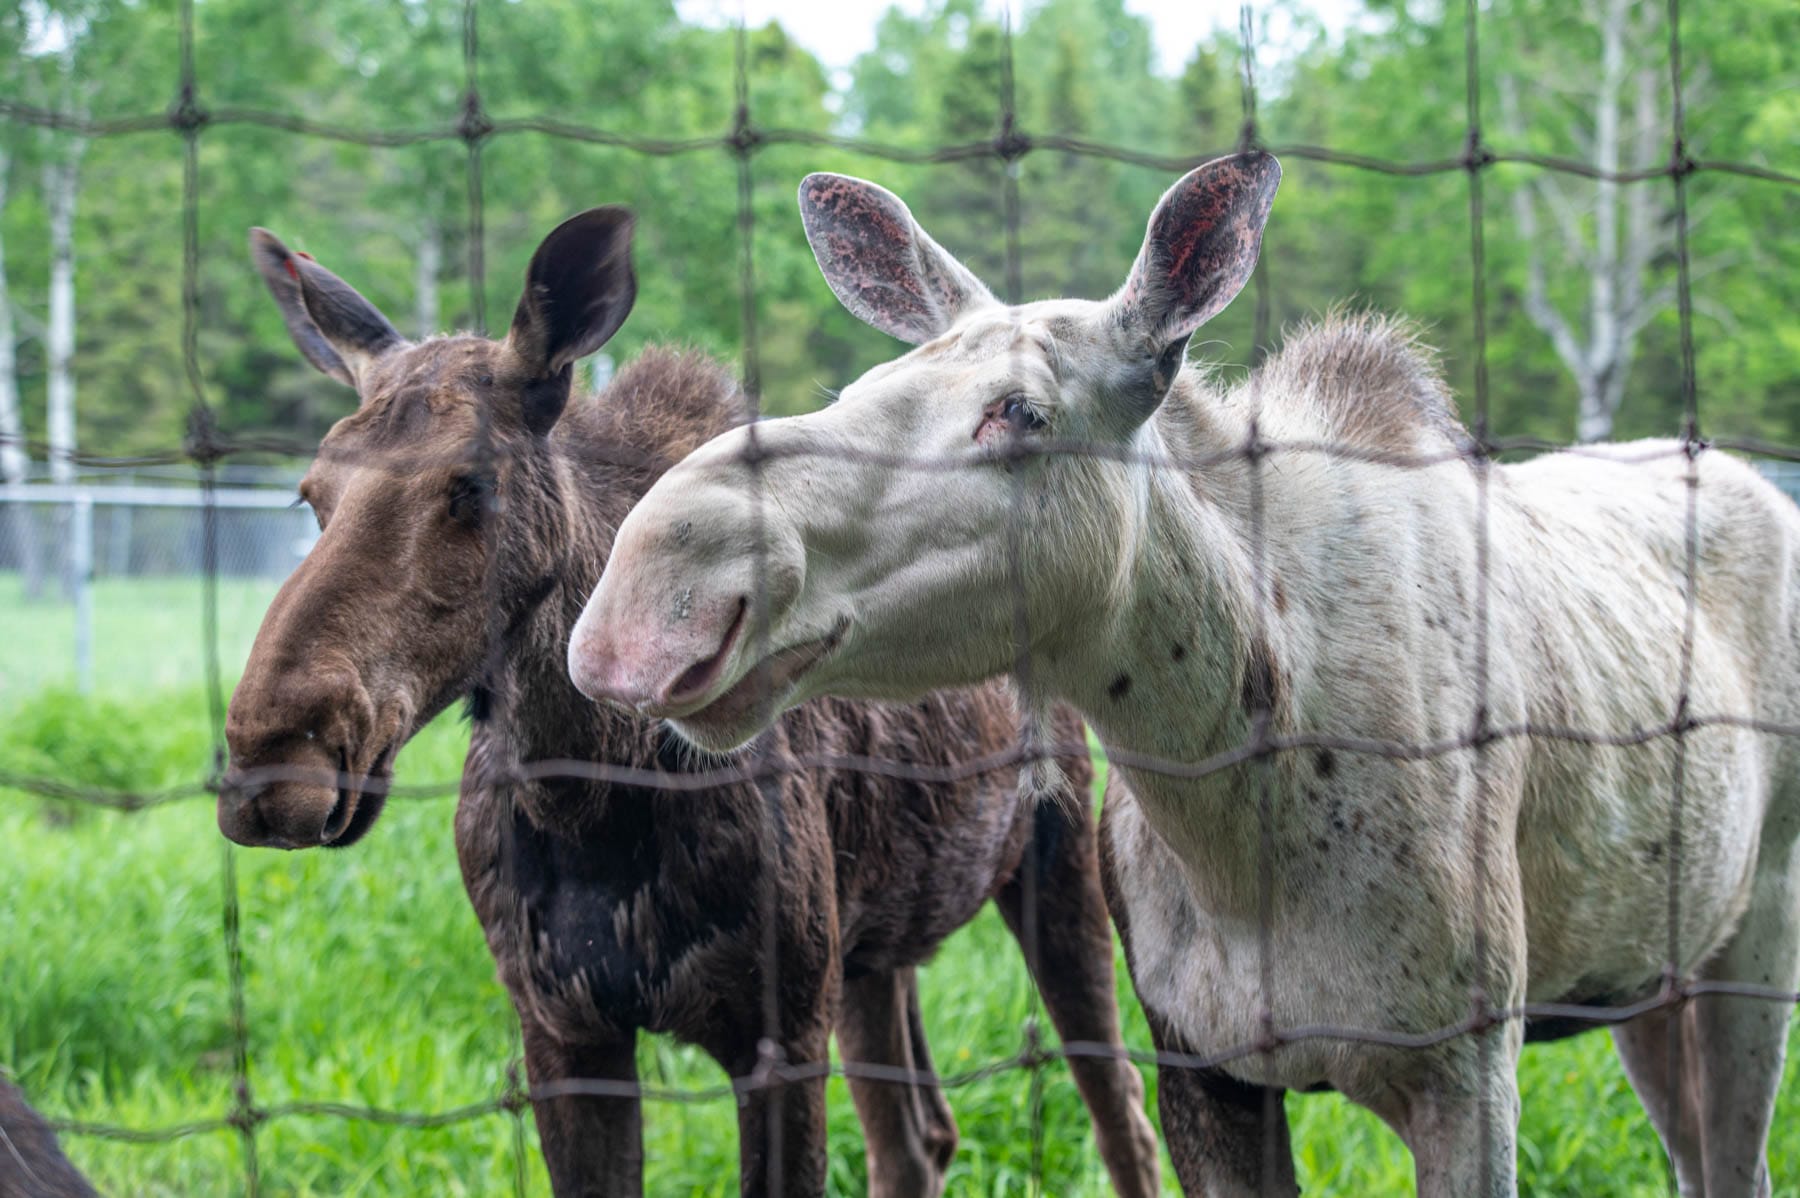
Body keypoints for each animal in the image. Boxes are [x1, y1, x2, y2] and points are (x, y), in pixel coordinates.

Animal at [216, 207, 1160, 1197]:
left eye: (470, 488)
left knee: (1120, 1119)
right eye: (312, 492)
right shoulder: (564, 1033)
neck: (587, 796)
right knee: (921, 1137)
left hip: (1055, 871)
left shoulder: (777, 1030)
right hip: (876, 946)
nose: (275, 763)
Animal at [569, 152, 1800, 1196]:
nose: (649, 597)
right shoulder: (1203, 1065)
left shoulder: (1467, 1069)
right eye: (868, 379)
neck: (1236, 810)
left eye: (1021, 411)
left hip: (1752, 946)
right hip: (1651, 973)